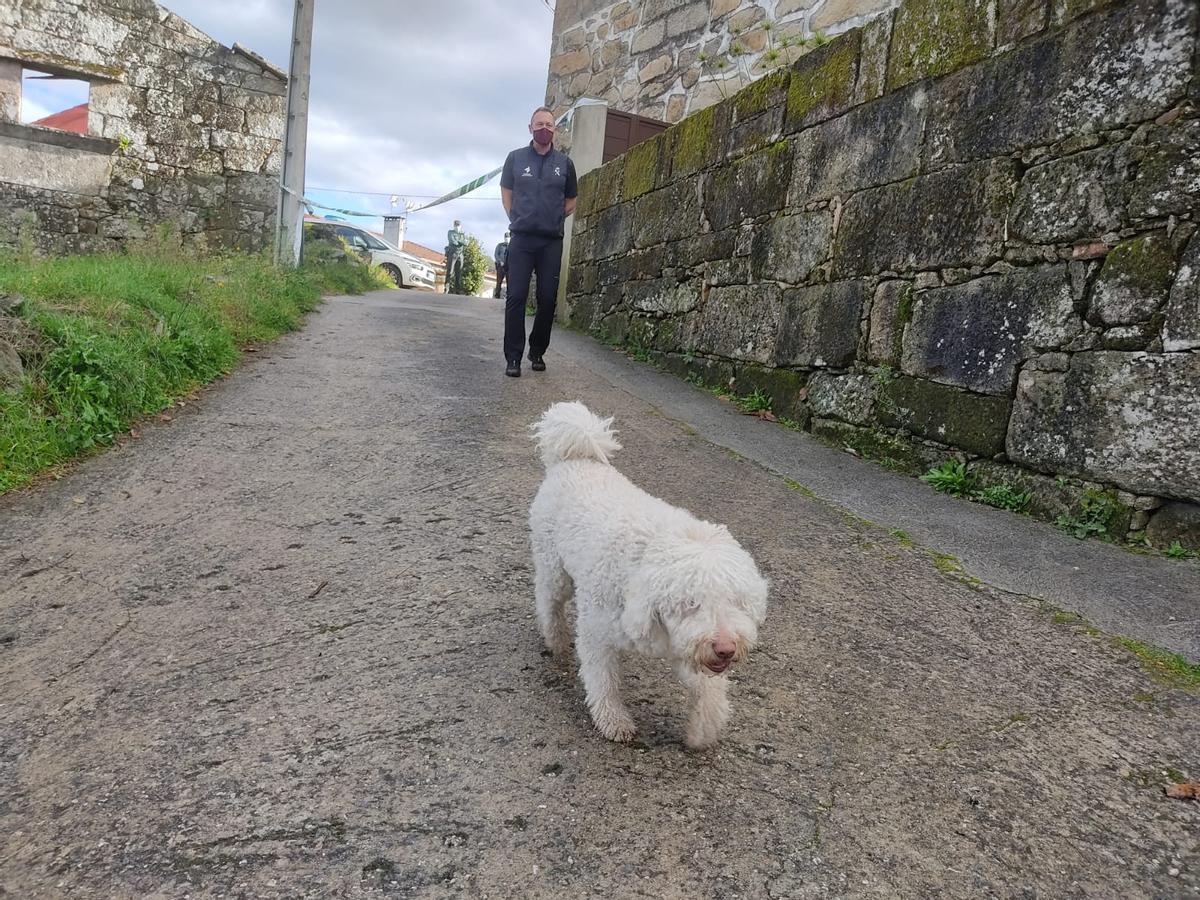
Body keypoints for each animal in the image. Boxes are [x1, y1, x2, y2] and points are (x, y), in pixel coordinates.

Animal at [528, 405, 768, 748]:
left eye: (737, 601)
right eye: (690, 603)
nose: (726, 648)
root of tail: (574, 457)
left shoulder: (685, 644)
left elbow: (708, 690)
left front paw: (701, 731)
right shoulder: (597, 633)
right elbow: (602, 681)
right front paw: (614, 721)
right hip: (553, 567)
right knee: (548, 600)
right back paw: (555, 639)